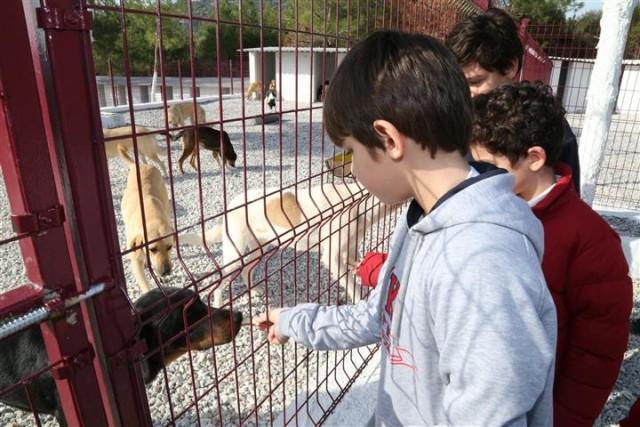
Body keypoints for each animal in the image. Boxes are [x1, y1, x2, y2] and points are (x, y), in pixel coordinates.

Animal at [118, 145, 174, 292]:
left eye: (170, 247)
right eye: (152, 249)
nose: (166, 271)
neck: (150, 216)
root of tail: (140, 165)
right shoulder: (135, 262)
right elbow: (146, 286)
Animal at [179, 182, 390, 306]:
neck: (357, 201)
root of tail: (231, 205)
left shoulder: (351, 252)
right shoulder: (333, 258)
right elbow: (353, 286)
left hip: (259, 250)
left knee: (247, 271)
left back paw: (254, 292)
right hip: (234, 256)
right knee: (219, 284)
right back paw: (217, 304)